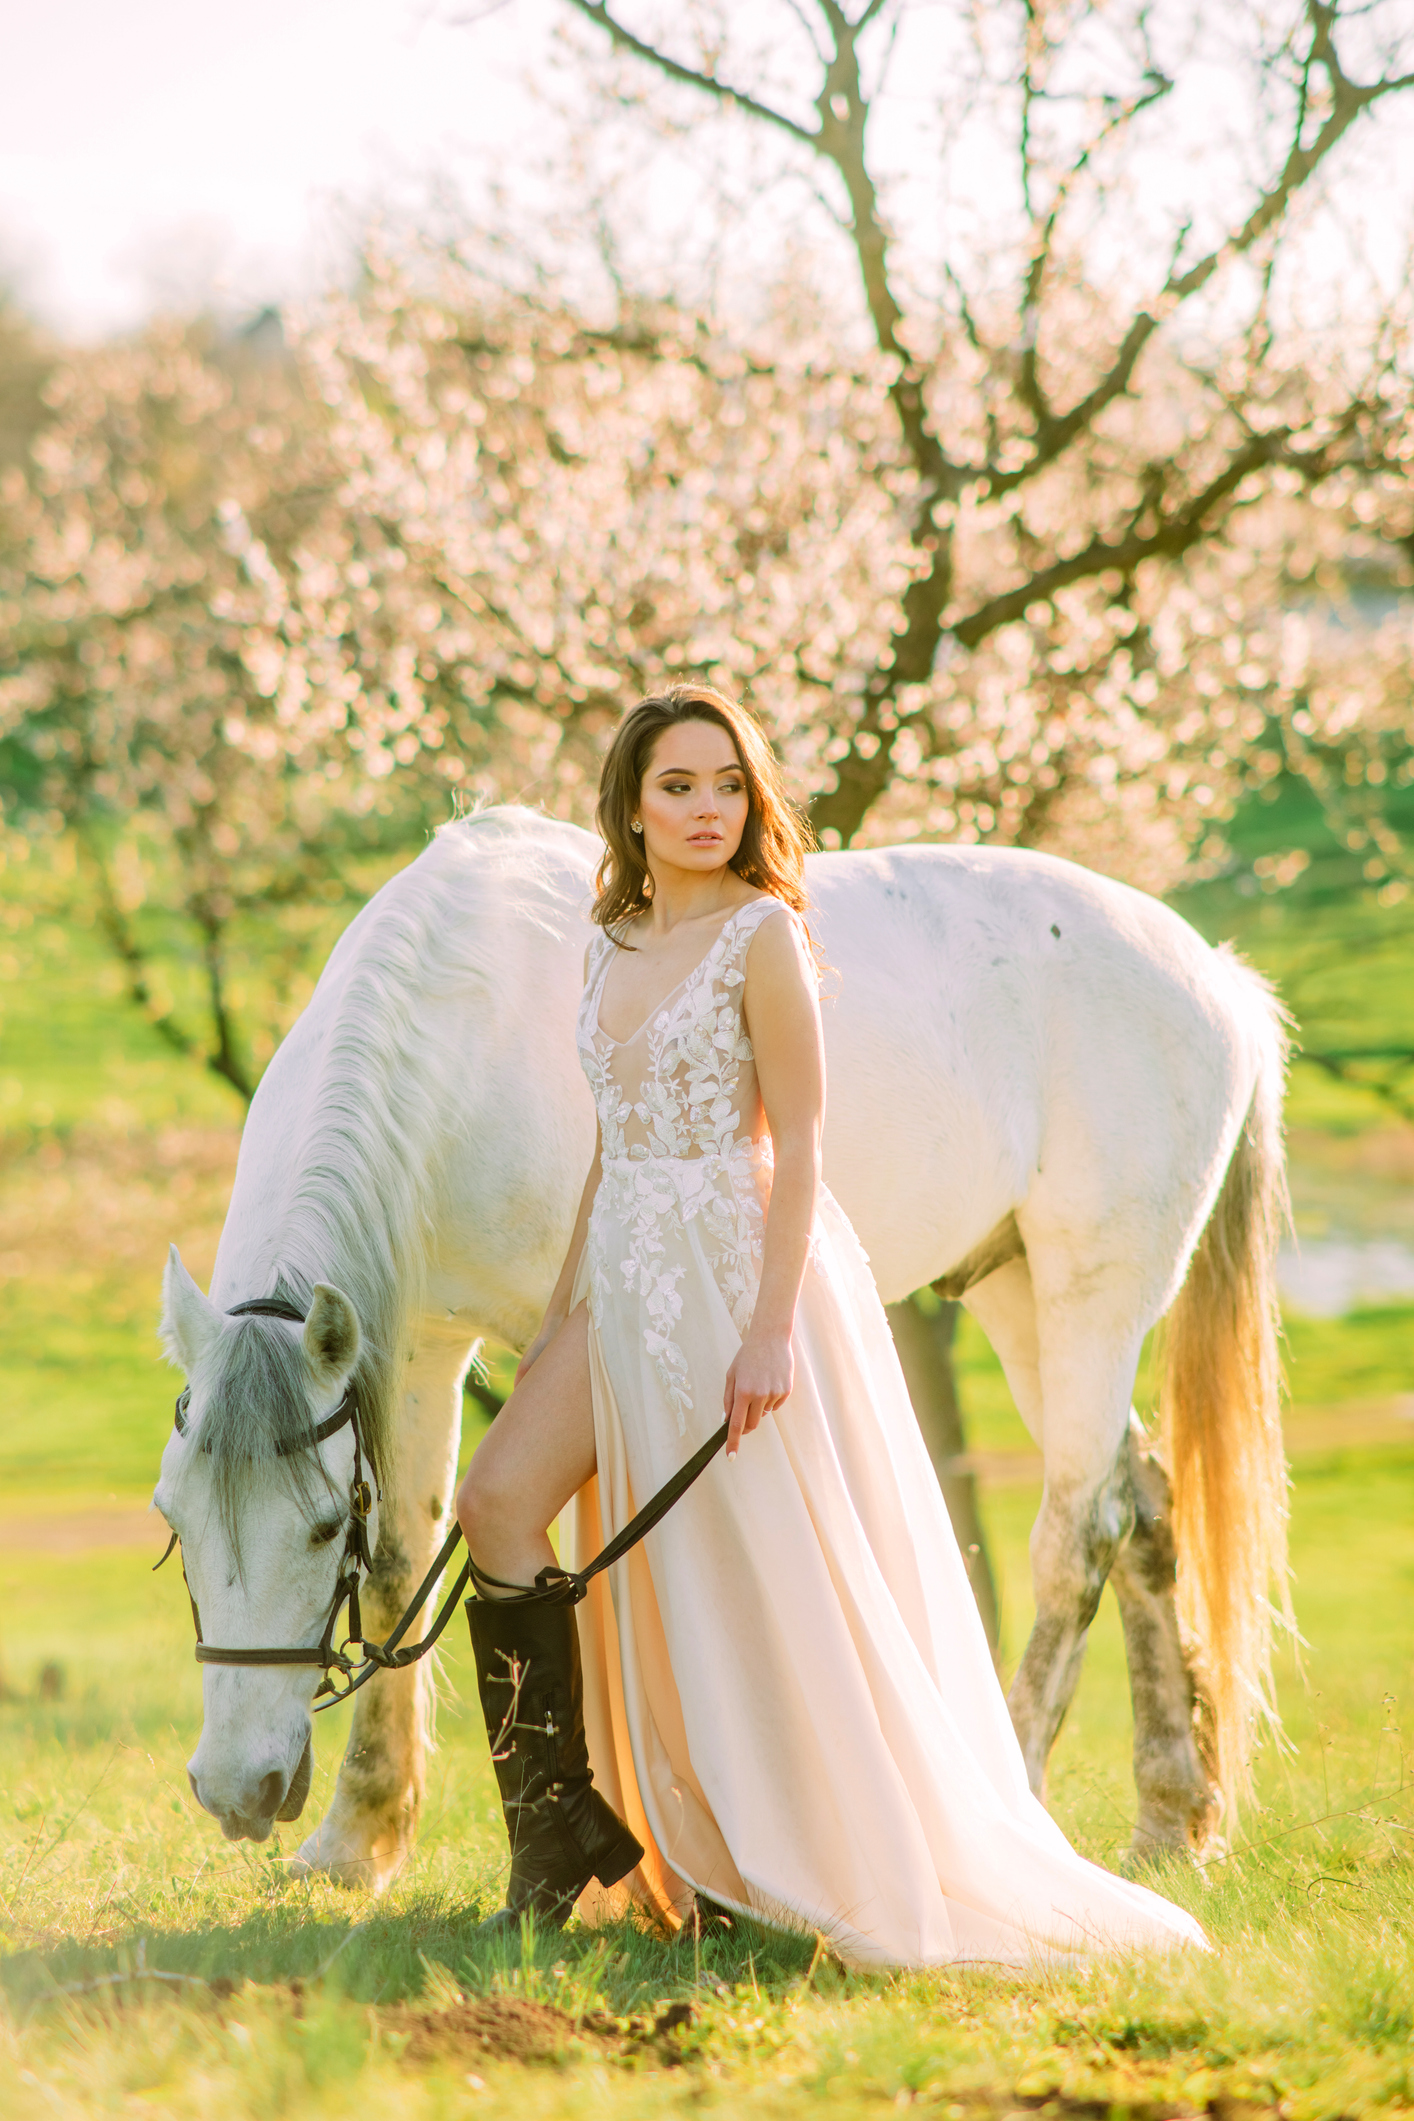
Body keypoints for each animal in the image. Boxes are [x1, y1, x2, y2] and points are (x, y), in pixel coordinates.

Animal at [157, 801, 1297, 1883]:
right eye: (174, 1520)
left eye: (316, 1531)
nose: (236, 1789)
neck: (456, 1033)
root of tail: (1217, 977)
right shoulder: (418, 1347)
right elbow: (402, 1556)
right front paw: (358, 1839)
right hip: (1021, 1302)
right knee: (1143, 1507)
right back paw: (1173, 1818)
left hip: (1091, 1298)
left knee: (1079, 1533)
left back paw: (1016, 1807)